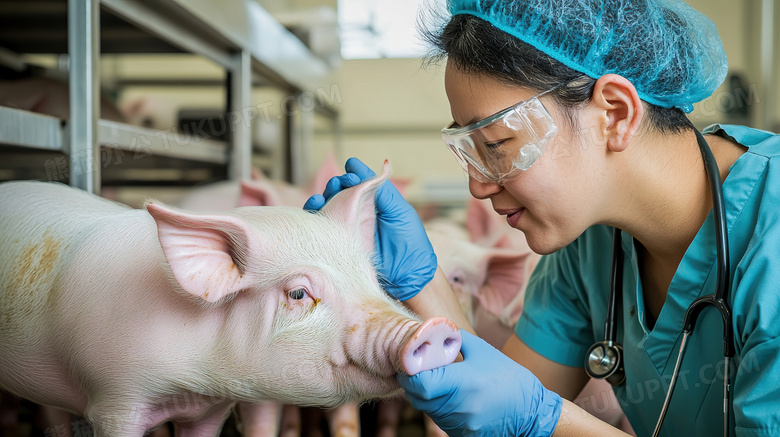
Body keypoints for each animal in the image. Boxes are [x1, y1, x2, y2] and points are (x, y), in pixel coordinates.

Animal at [0, 162, 464, 436]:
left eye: (373, 278)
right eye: (299, 293)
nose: (434, 328)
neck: (191, 383)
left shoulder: (211, 408)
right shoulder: (114, 399)